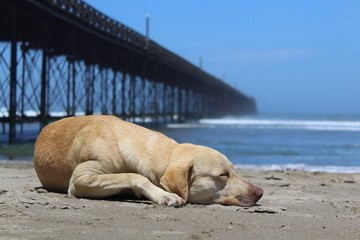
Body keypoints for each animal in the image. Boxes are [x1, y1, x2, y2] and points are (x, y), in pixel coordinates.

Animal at [33, 114, 262, 206]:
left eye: (234, 170)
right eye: (223, 175)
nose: (260, 192)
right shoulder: (81, 178)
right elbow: (133, 175)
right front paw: (164, 195)